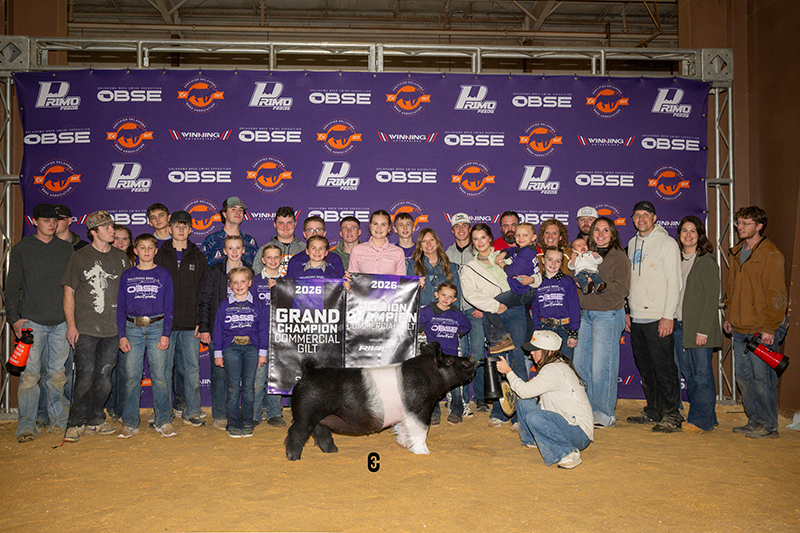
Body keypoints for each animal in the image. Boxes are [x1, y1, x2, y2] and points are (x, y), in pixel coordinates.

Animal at [285, 342, 476, 460]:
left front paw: (405, 445)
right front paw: (424, 453)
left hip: (322, 416)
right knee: (296, 433)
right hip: (306, 414)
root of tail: (309, 372)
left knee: (321, 433)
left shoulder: (404, 415)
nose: (472, 359)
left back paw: (333, 451)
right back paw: (294, 458)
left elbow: (403, 429)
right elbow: (421, 431)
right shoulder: (419, 410)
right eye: (450, 360)